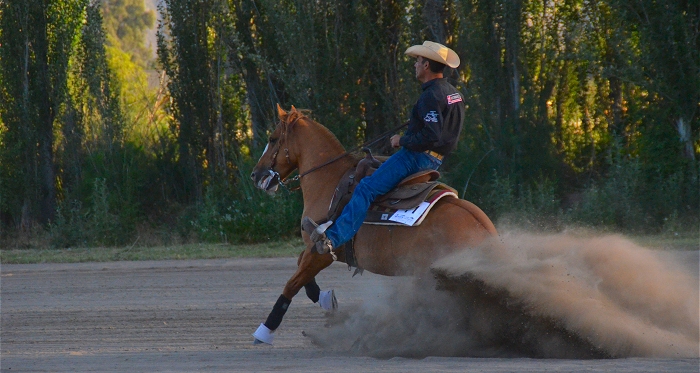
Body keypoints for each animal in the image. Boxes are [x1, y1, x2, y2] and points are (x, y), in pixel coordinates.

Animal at [249, 104, 494, 342]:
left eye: (273, 138)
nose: (255, 174)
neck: (329, 181)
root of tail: (486, 232)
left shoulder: (322, 251)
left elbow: (292, 283)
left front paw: (265, 330)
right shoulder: (314, 250)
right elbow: (301, 269)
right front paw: (327, 300)